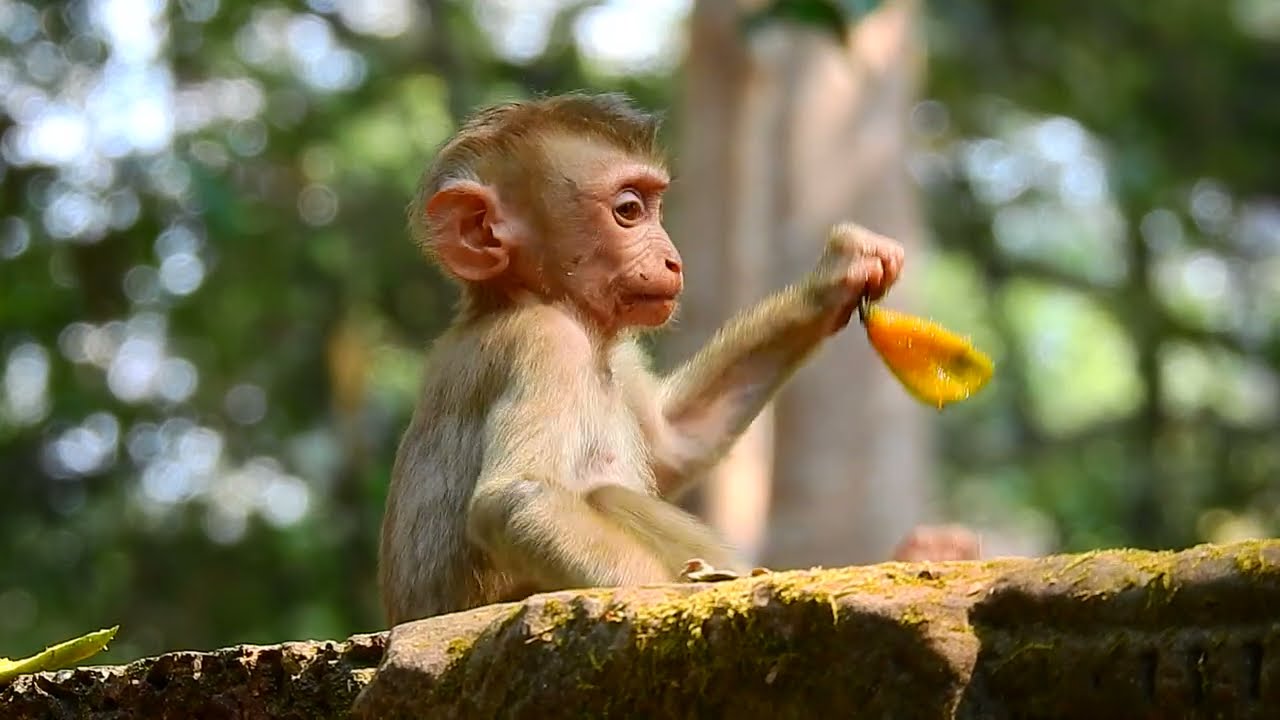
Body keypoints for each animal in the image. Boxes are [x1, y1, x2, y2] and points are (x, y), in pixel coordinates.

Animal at [377, 92, 912, 626]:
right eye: (629, 210)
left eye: (654, 206)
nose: (673, 260)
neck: (529, 299)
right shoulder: (546, 343)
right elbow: (515, 498)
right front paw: (679, 597)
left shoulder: (620, 353)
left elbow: (677, 443)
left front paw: (842, 276)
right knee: (604, 494)